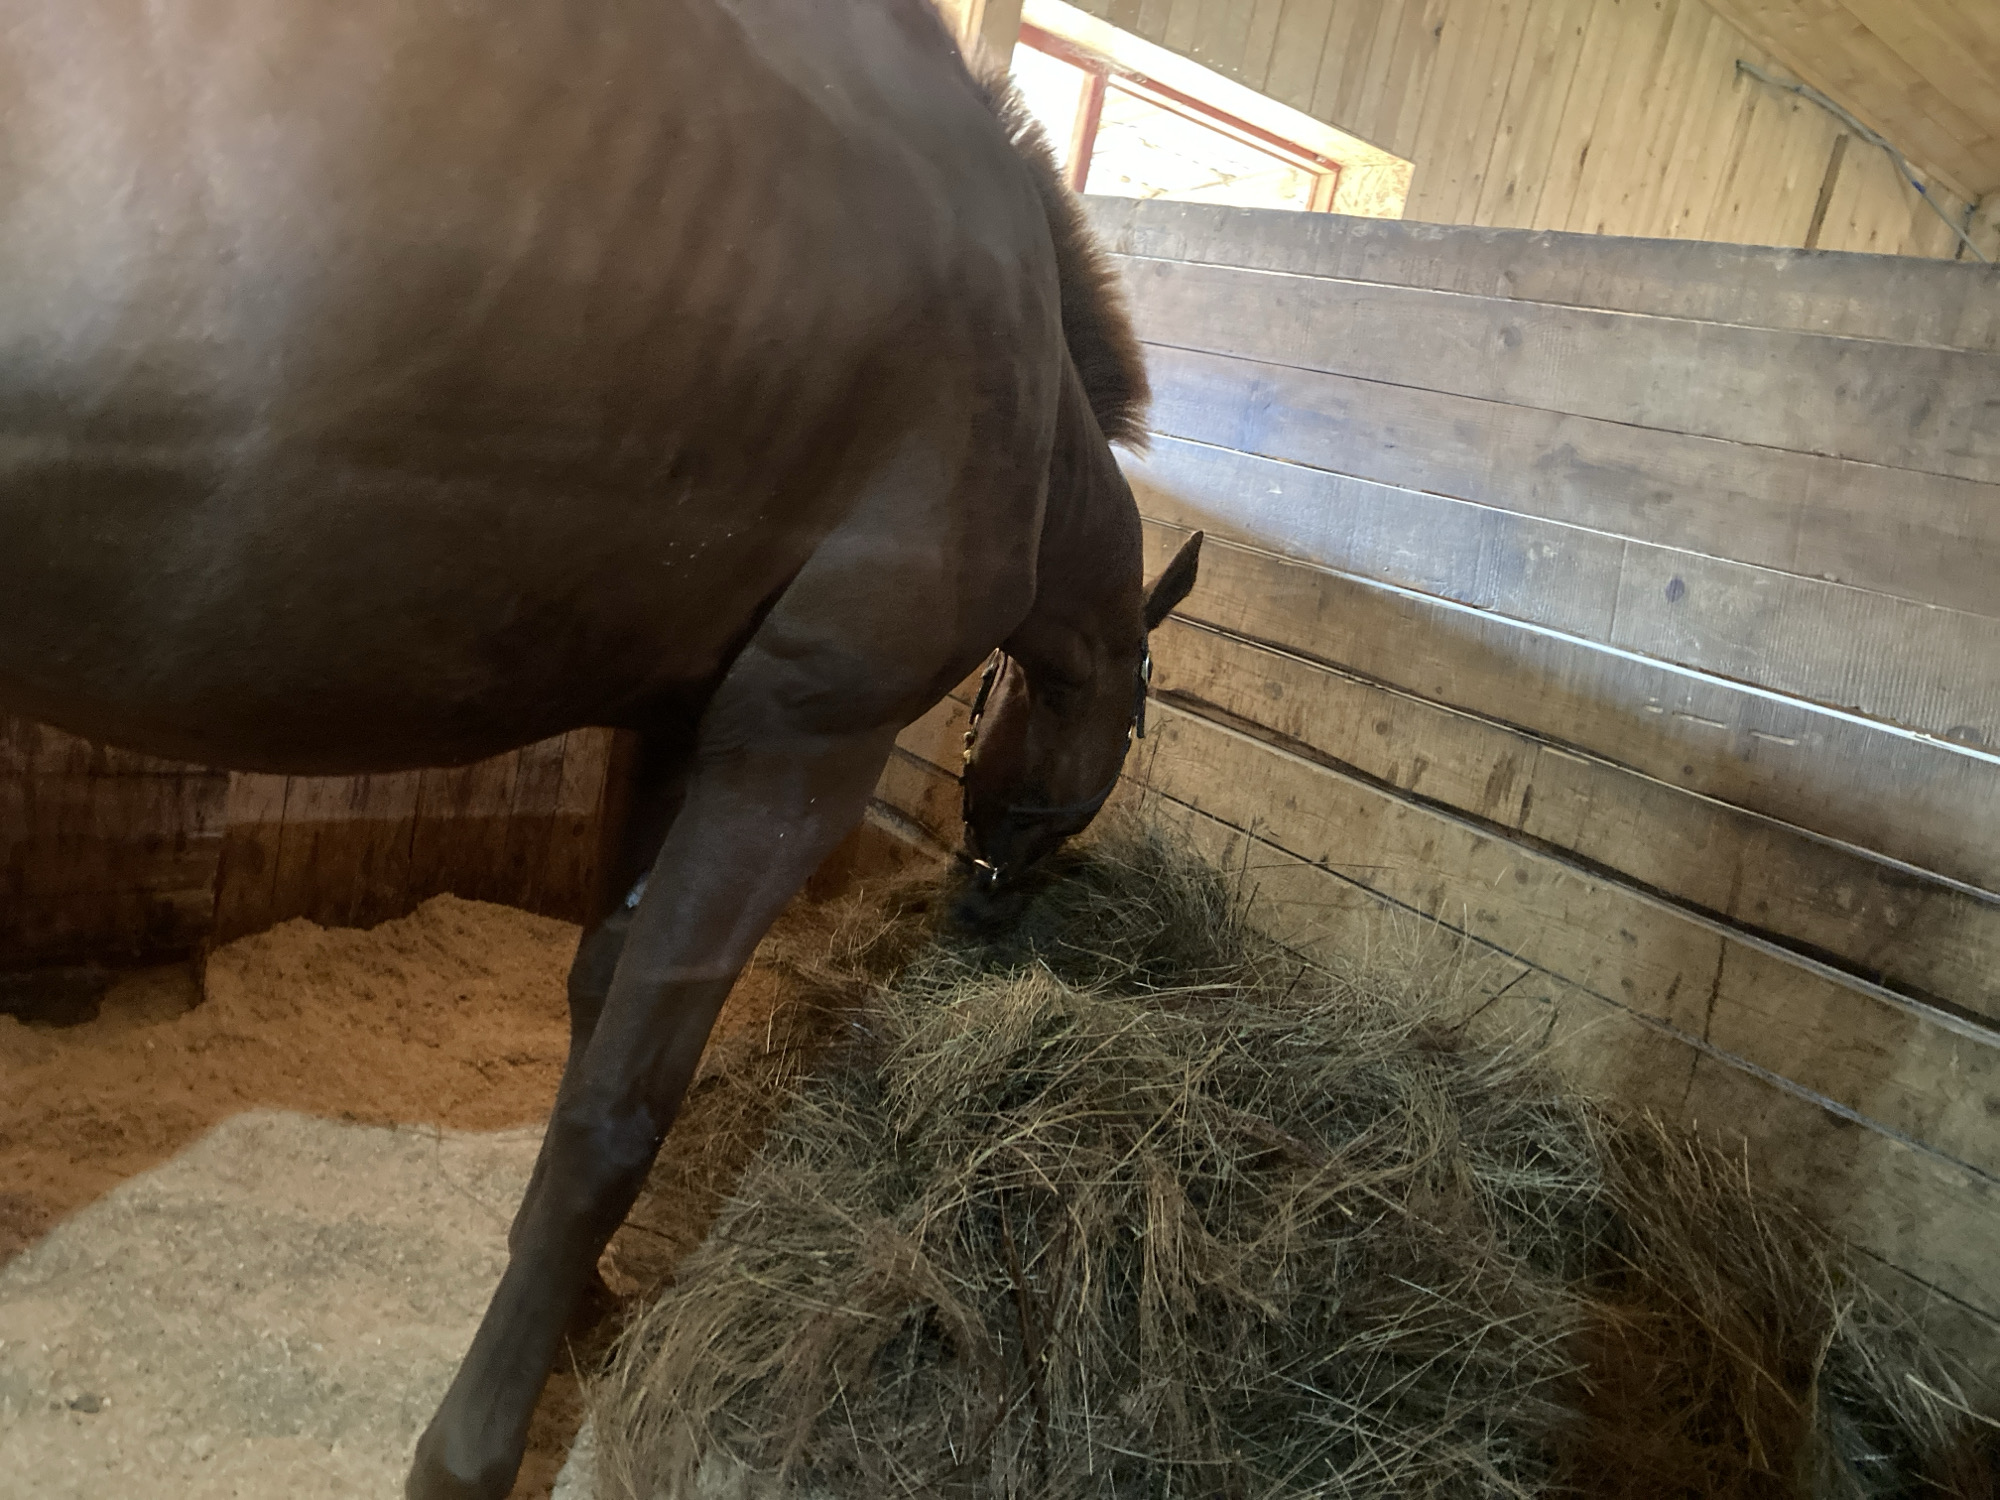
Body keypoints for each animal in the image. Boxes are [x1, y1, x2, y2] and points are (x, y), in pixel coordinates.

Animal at [0, 1, 1201, 1493]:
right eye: (1130, 718)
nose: (993, 897)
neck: (1018, 397)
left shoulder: (681, 724)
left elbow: (593, 993)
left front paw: (579, 1305)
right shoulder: (796, 753)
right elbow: (618, 1107)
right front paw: (471, 1448)